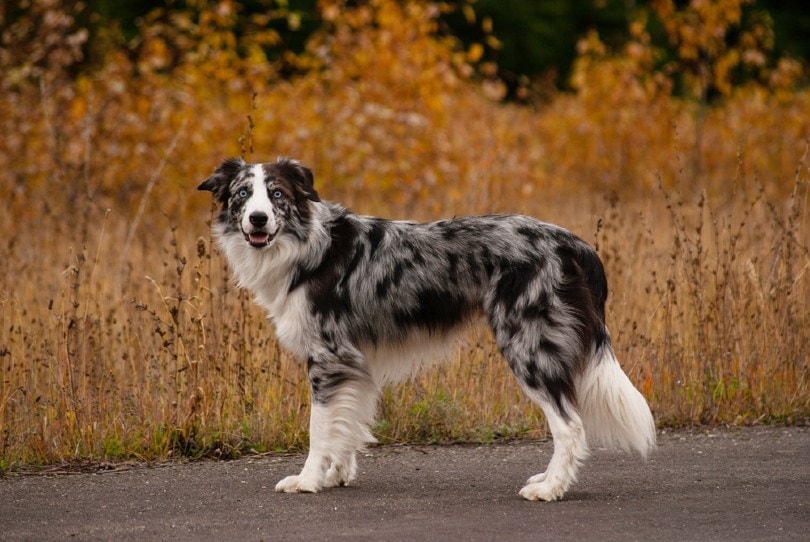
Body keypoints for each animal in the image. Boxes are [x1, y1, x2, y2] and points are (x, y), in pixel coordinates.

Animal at [197, 156, 656, 502]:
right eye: (242, 194)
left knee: (570, 424)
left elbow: (319, 428)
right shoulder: (354, 362)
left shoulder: (327, 357)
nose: (257, 220)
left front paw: (309, 480)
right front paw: (335, 475)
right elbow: (348, 423)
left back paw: (550, 488)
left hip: (528, 346)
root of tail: (570, 241)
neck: (307, 246)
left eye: (276, 194)